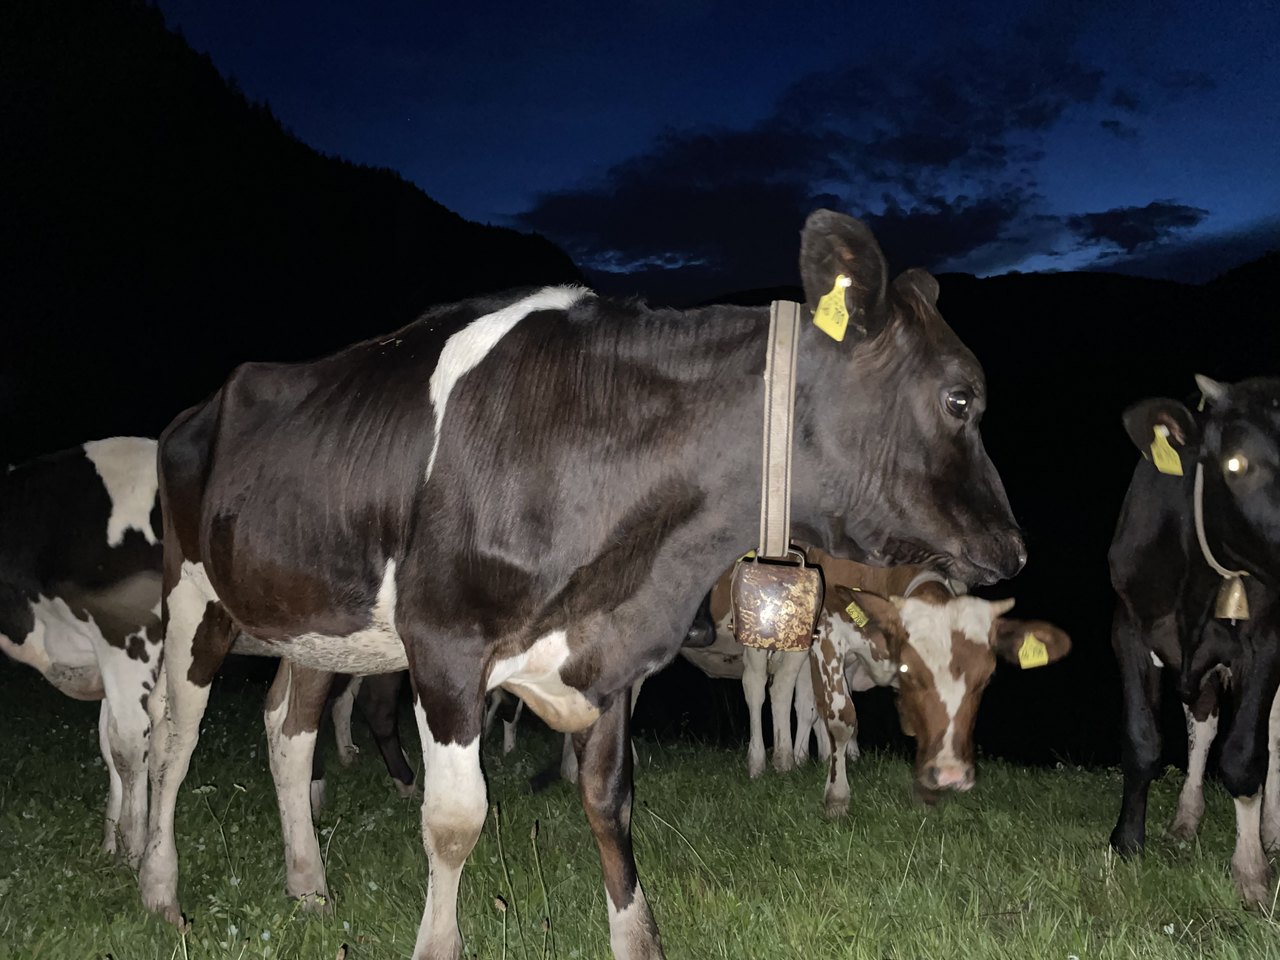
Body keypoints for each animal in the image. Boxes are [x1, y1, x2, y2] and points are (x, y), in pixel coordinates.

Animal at [139, 210, 1025, 960]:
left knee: (288, 733)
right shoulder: (446, 646)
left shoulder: (610, 658)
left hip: (320, 622)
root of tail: (200, 407)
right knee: (172, 740)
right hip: (193, 599)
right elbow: (455, 821)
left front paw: (637, 940)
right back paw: (158, 887)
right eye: (961, 397)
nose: (1013, 547)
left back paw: (308, 884)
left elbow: (610, 800)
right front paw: (437, 943)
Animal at [1109, 375, 1280, 905]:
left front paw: (1251, 870)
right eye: (1235, 463)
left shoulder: (1266, 644)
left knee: (1274, 736)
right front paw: (1127, 842)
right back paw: (1187, 819)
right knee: (1203, 726)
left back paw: (1271, 832)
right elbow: (1142, 741)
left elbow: (1245, 757)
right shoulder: (1128, 628)